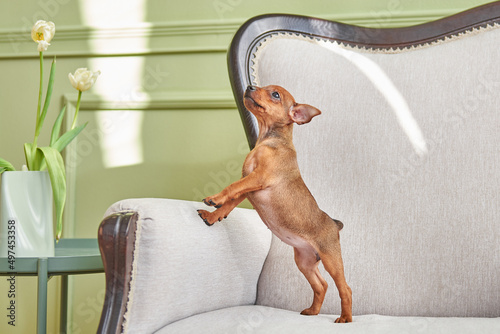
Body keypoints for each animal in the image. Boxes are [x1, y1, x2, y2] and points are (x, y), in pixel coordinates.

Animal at [197, 84, 354, 324]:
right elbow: (231, 203)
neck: (269, 140)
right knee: (322, 285)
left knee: (345, 288)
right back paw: (313, 311)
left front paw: (215, 198)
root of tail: (334, 224)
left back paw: (345, 318)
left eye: (276, 95)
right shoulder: (248, 186)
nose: (250, 86)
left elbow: (231, 187)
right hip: (305, 262)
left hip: (331, 259)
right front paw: (213, 215)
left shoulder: (257, 178)